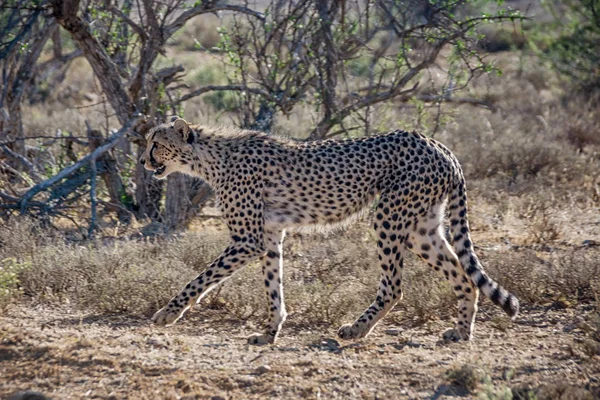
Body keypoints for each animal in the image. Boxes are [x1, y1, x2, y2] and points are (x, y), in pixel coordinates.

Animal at [142, 116, 520, 344]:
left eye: (156, 143)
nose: (144, 161)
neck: (211, 158)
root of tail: (437, 144)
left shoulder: (247, 240)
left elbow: (202, 278)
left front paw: (168, 313)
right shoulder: (270, 235)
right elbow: (273, 286)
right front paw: (270, 331)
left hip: (388, 216)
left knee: (394, 287)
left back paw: (356, 329)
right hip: (421, 229)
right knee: (465, 277)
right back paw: (461, 332)